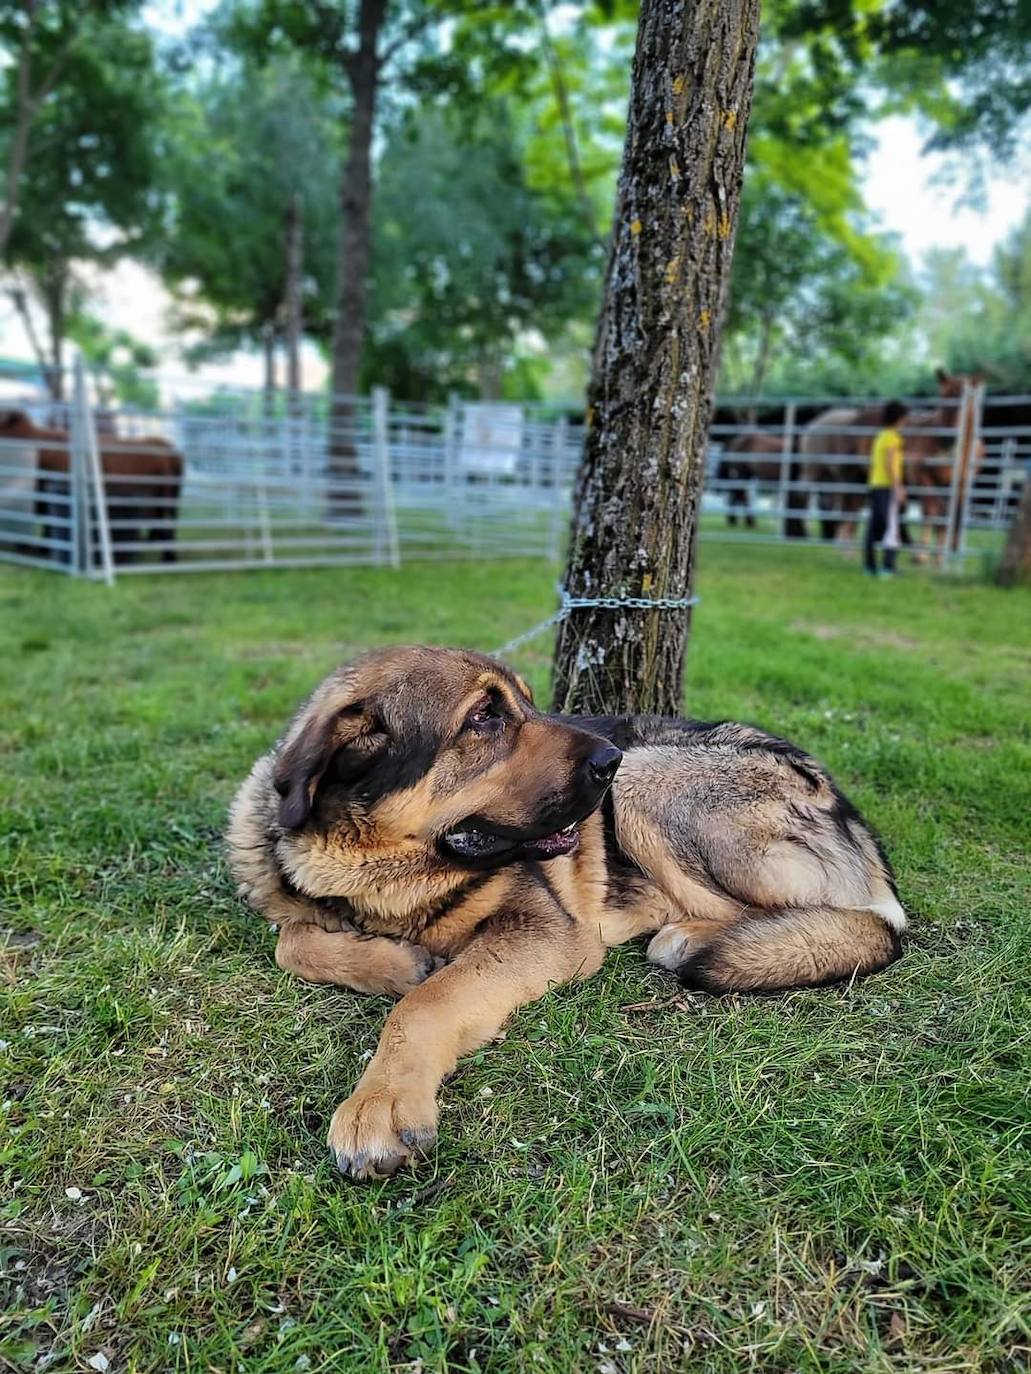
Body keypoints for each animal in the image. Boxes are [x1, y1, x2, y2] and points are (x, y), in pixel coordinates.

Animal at [228, 648, 901, 1176]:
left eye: (525, 704)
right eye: (483, 718)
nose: (608, 760)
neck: (381, 879)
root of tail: (851, 816)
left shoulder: (545, 930)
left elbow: (427, 1002)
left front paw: (383, 1101)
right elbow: (291, 939)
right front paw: (394, 963)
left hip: (649, 778)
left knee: (833, 919)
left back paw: (689, 936)